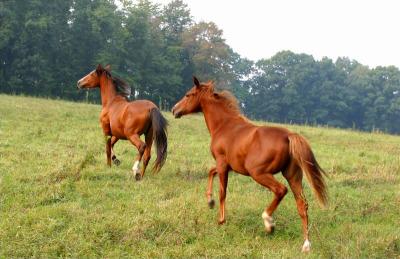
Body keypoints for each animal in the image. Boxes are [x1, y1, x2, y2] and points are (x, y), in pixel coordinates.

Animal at [172, 76, 328, 253]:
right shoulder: (228, 166)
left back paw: (269, 223)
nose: (174, 110)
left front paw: (221, 220)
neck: (224, 125)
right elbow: (211, 172)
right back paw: (306, 245)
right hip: (292, 175)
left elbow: (222, 192)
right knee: (302, 205)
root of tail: (289, 135)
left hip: (259, 173)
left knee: (281, 190)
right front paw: (210, 202)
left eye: (188, 94)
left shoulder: (222, 162)